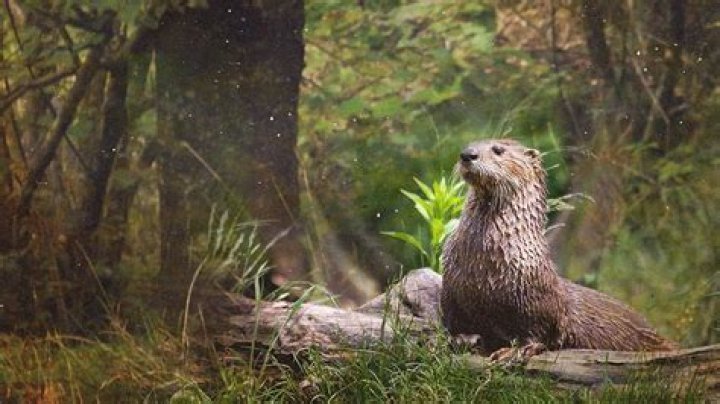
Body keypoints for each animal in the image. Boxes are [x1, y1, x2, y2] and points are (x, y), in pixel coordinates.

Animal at [441, 139, 676, 359]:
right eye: (469, 145)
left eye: (498, 150)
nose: (467, 154)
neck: (486, 262)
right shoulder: (452, 290)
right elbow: (455, 320)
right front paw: (462, 339)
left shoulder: (535, 299)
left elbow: (541, 330)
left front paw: (514, 351)